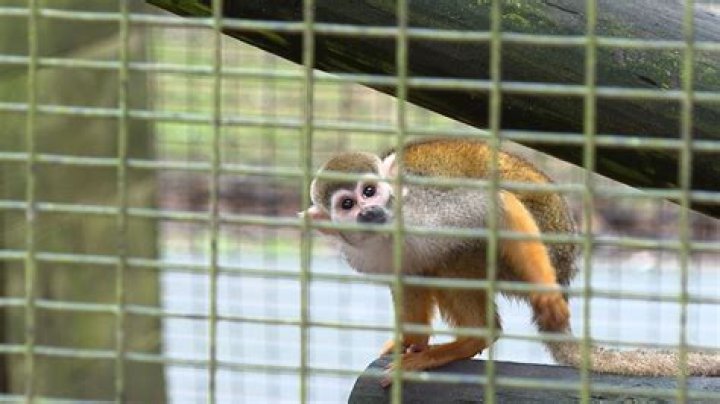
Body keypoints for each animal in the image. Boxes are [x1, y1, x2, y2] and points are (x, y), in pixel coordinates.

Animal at [302, 137, 720, 382]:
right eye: (347, 204)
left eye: (369, 191)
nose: (369, 212)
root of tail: (565, 270)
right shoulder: (362, 252)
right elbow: (406, 276)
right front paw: (410, 338)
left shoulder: (430, 211)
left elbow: (497, 206)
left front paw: (546, 298)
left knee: (460, 252)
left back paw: (476, 337)